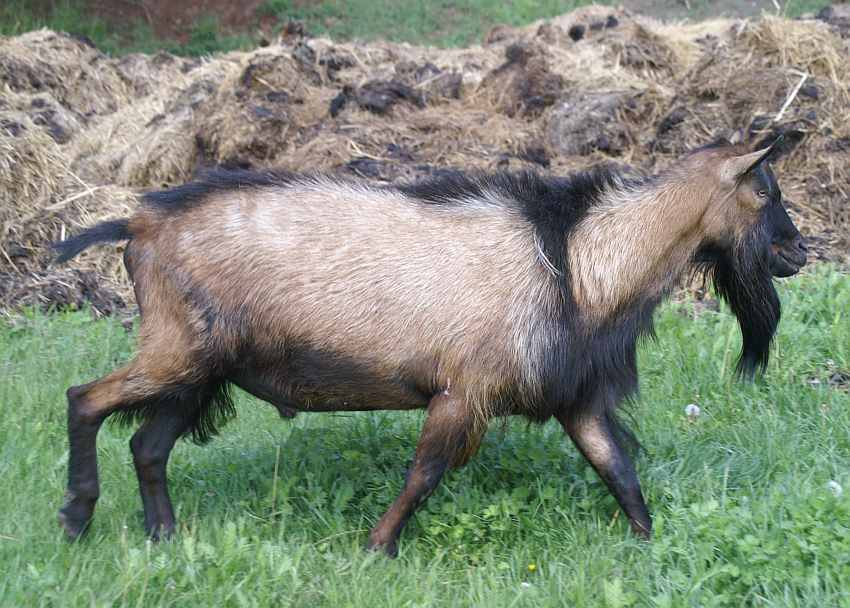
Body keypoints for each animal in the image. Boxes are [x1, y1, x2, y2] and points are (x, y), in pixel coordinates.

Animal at [53, 139, 806, 556]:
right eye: (765, 188)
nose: (800, 251)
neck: (579, 259)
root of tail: (138, 225)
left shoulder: (574, 395)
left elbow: (616, 468)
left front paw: (648, 541)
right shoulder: (464, 390)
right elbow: (425, 474)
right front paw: (376, 548)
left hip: (203, 367)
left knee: (147, 443)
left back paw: (163, 535)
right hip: (175, 348)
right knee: (84, 398)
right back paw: (76, 519)